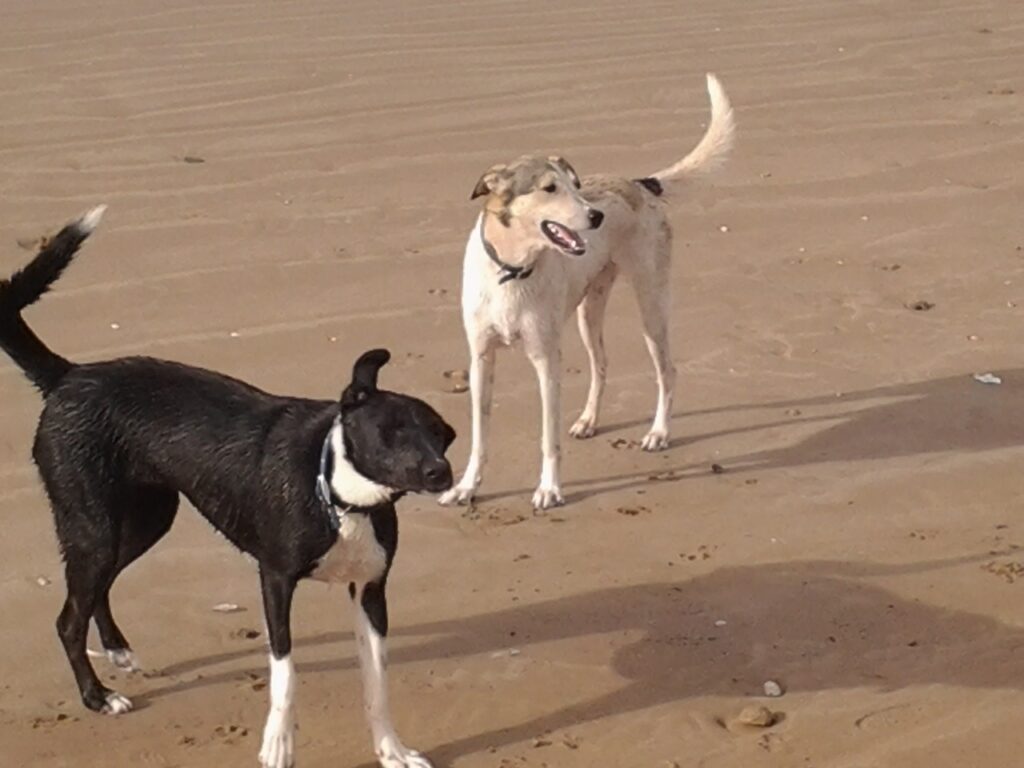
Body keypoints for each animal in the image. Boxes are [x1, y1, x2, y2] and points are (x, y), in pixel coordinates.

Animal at [0, 207, 452, 768]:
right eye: (392, 432)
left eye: (442, 435)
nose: (441, 473)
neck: (340, 498)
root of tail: (68, 376)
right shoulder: (275, 580)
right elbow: (285, 672)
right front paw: (278, 743)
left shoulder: (370, 592)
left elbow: (377, 685)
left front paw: (391, 749)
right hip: (93, 526)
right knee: (68, 618)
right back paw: (97, 696)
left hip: (144, 521)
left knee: (94, 591)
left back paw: (117, 650)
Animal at [440, 73, 737, 512]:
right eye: (549, 188)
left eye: (574, 185)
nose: (595, 216)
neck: (511, 272)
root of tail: (640, 185)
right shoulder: (481, 360)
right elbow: (479, 437)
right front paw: (466, 487)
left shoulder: (546, 361)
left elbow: (548, 440)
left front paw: (549, 489)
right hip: (588, 311)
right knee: (601, 365)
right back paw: (589, 421)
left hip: (651, 304)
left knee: (667, 371)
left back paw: (659, 433)